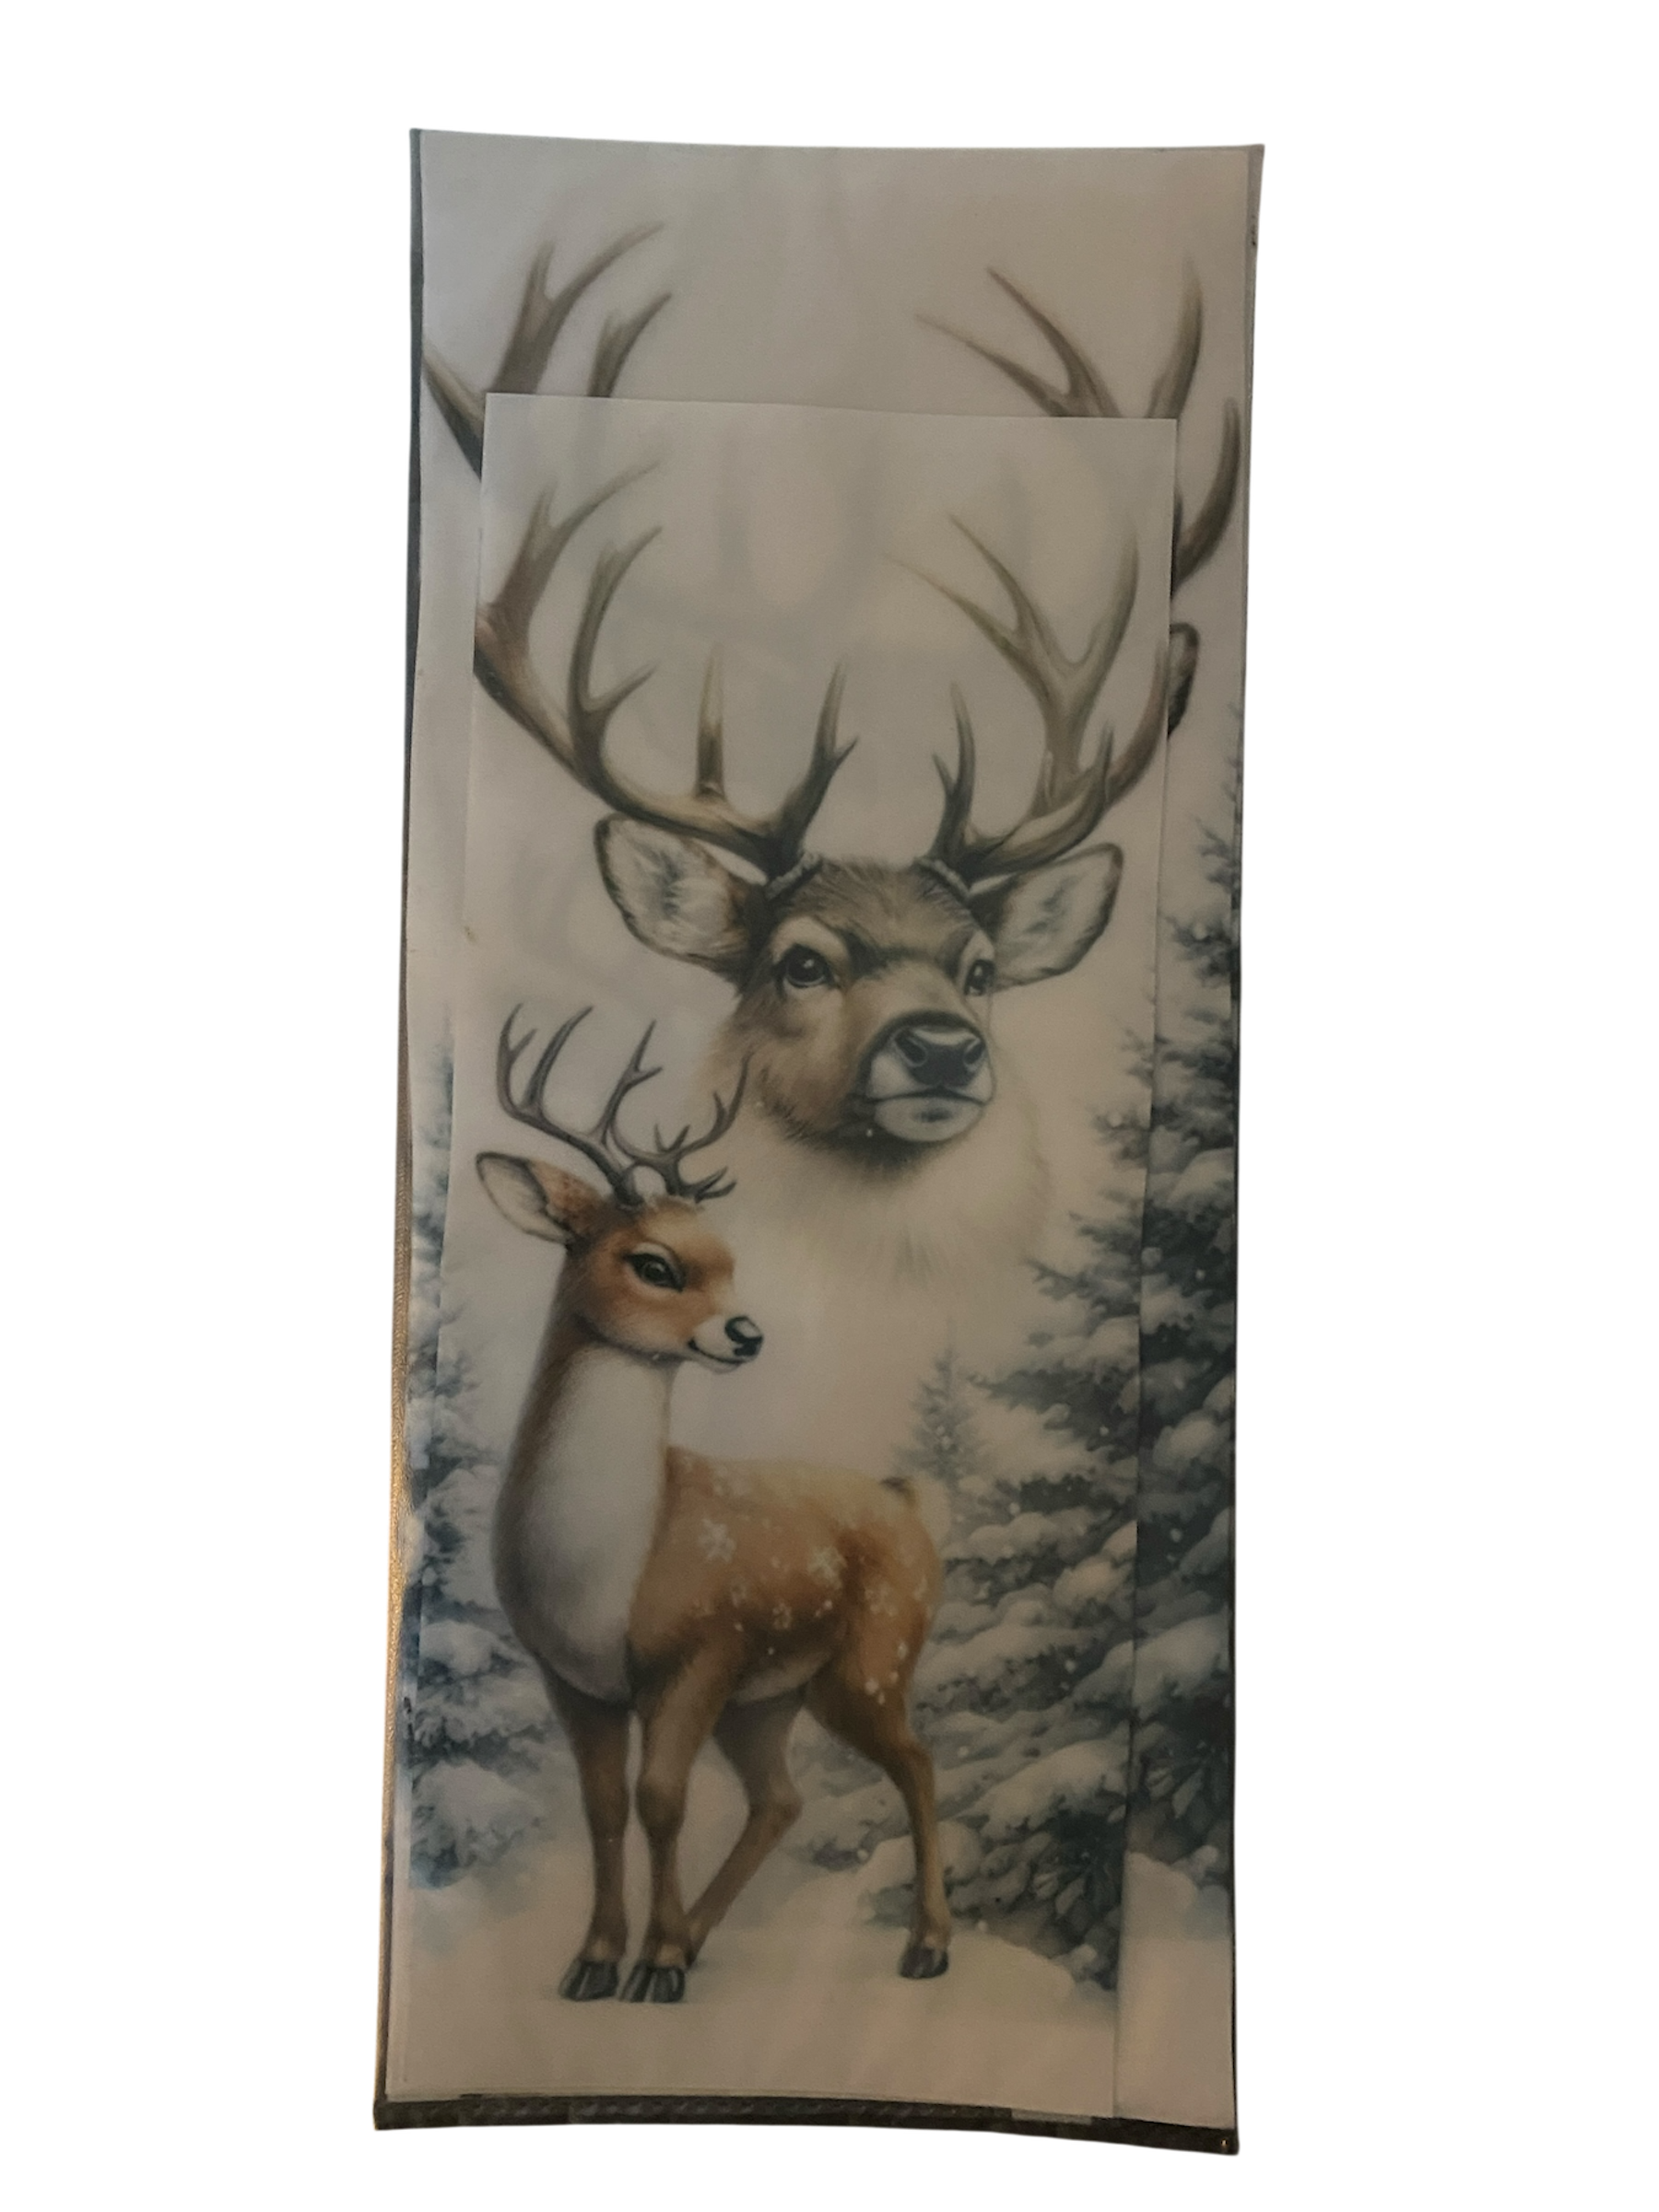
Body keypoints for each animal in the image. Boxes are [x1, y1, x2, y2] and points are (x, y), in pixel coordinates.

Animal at [477, 1003, 952, 2003]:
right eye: (654, 1264)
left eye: (730, 1262)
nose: (747, 1334)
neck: (604, 1569)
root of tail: (912, 1506)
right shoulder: (571, 1676)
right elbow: (605, 1807)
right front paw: (597, 1960)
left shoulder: (699, 1648)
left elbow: (662, 1800)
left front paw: (651, 1962)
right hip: (767, 1698)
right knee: (782, 1798)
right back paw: (699, 1937)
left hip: (871, 1659)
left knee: (918, 1764)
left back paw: (927, 1946)